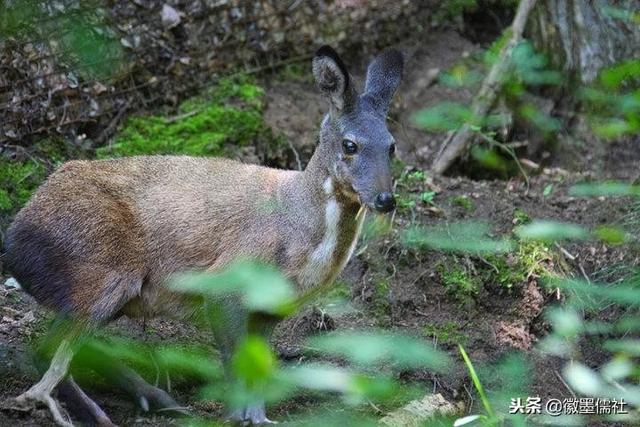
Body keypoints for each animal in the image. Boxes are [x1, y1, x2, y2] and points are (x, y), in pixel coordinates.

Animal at [5, 45, 402, 426]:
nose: (386, 199)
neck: (297, 236)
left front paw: (260, 418)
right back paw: (105, 414)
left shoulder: (271, 307)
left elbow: (259, 370)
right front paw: (234, 418)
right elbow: (233, 362)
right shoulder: (226, 280)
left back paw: (156, 399)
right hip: (103, 269)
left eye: (392, 145)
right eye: (349, 144)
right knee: (47, 349)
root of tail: (12, 241)